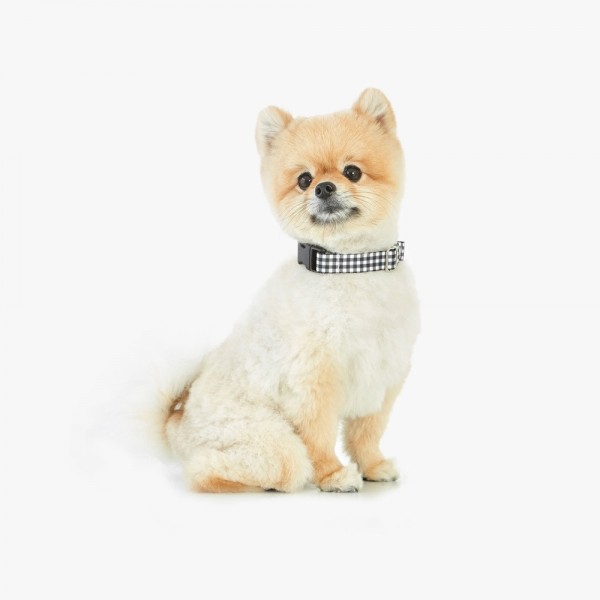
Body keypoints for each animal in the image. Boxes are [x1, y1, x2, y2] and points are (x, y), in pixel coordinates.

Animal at [156, 89, 420, 492]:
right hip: (269, 441)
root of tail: (178, 421)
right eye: (304, 180)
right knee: (217, 469)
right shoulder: (315, 377)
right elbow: (320, 432)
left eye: (352, 172)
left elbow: (367, 432)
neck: (349, 265)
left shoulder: (385, 371)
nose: (324, 187)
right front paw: (333, 476)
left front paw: (372, 466)